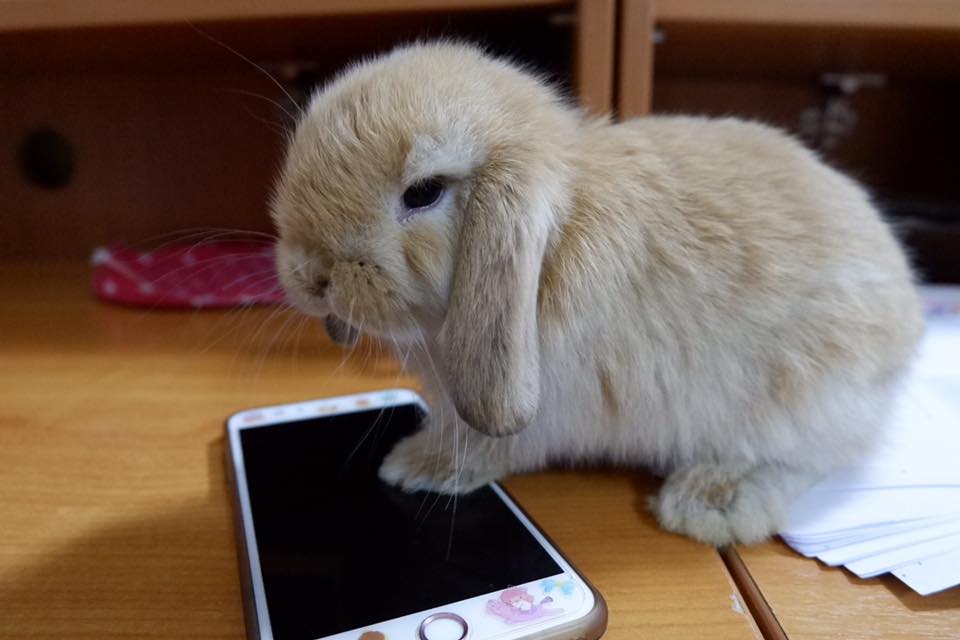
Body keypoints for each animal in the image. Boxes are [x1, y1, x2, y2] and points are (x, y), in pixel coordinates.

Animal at [270, 42, 923, 546]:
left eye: (424, 192)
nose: (309, 276)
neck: (552, 242)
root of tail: (908, 319)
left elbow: (483, 445)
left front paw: (411, 467)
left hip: (802, 398)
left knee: (806, 457)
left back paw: (709, 504)